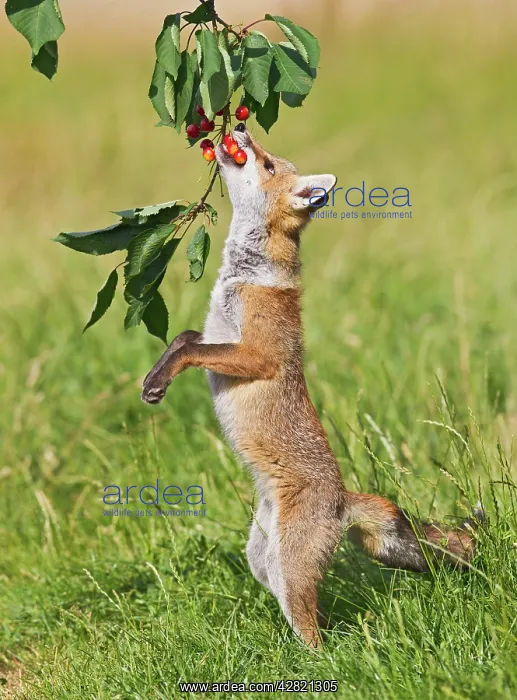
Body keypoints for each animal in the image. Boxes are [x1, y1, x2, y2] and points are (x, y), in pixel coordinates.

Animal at [141, 123, 480, 647]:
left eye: (266, 163)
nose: (239, 127)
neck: (245, 274)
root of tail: (342, 499)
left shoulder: (256, 355)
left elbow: (188, 352)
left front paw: (158, 381)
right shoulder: (214, 334)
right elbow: (182, 339)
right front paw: (154, 378)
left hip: (291, 565)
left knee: (315, 631)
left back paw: (316, 658)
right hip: (263, 561)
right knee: (305, 612)